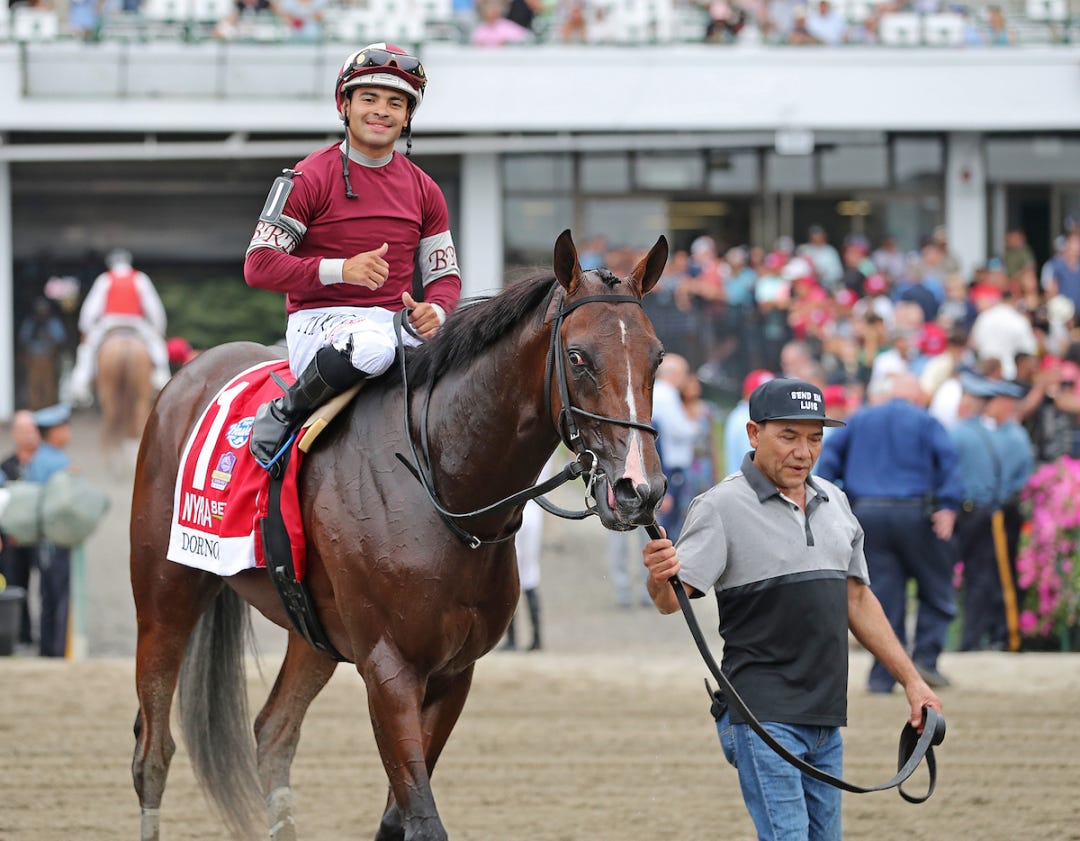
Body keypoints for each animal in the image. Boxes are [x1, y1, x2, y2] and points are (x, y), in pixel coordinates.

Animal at [129, 230, 669, 841]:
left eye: (657, 357)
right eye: (578, 358)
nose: (639, 489)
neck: (442, 486)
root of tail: (188, 374)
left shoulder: (453, 673)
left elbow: (397, 816)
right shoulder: (390, 672)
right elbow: (422, 817)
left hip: (312, 631)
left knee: (273, 731)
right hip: (165, 597)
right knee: (153, 751)